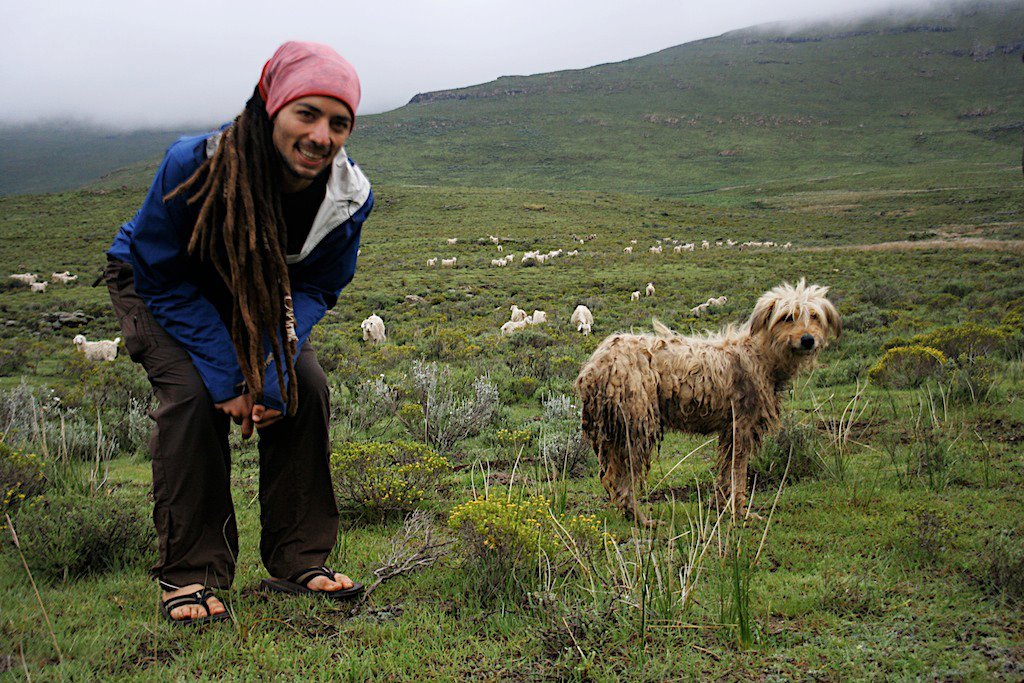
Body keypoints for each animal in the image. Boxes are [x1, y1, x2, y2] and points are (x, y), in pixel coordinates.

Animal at [577, 278, 839, 524]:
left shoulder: (730, 429)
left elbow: (725, 470)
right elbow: (738, 471)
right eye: (787, 317)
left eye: (814, 316)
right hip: (637, 423)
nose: (808, 340)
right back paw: (640, 517)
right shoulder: (742, 424)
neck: (760, 354)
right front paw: (739, 511)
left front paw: (721, 504)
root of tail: (595, 364)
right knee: (624, 477)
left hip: (616, 431)